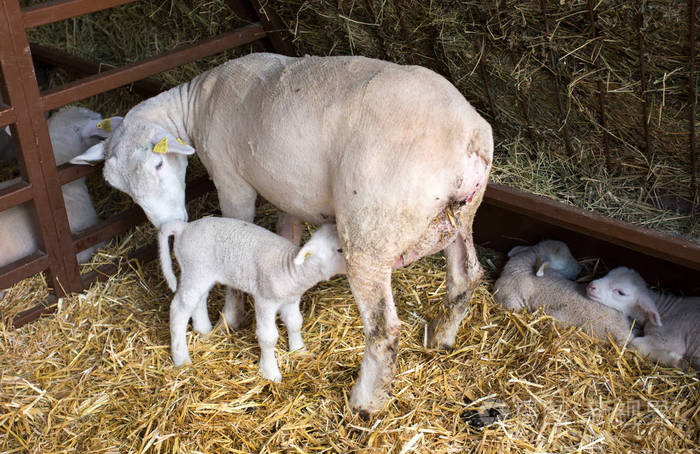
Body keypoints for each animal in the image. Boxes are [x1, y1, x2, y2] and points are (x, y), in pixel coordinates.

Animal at [158, 218, 344, 382]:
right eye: (340, 250)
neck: (290, 268)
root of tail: (184, 227)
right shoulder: (265, 300)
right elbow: (268, 337)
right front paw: (270, 372)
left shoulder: (291, 300)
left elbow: (295, 323)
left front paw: (299, 350)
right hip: (195, 269)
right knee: (179, 309)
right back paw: (181, 358)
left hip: (201, 274)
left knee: (198, 300)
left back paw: (204, 330)